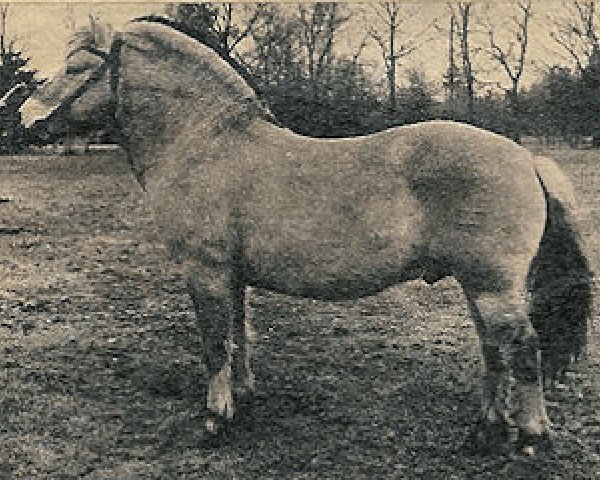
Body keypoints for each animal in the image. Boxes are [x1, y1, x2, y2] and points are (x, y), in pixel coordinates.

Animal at [17, 17, 592, 454]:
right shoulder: (232, 275)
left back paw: (531, 437)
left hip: (493, 286)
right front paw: (243, 400)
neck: (205, 143)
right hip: (478, 286)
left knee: (524, 349)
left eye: (76, 68)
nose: (23, 118)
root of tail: (525, 157)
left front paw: (215, 419)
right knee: (494, 350)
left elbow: (213, 342)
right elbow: (238, 334)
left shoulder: (204, 270)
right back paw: (486, 431)